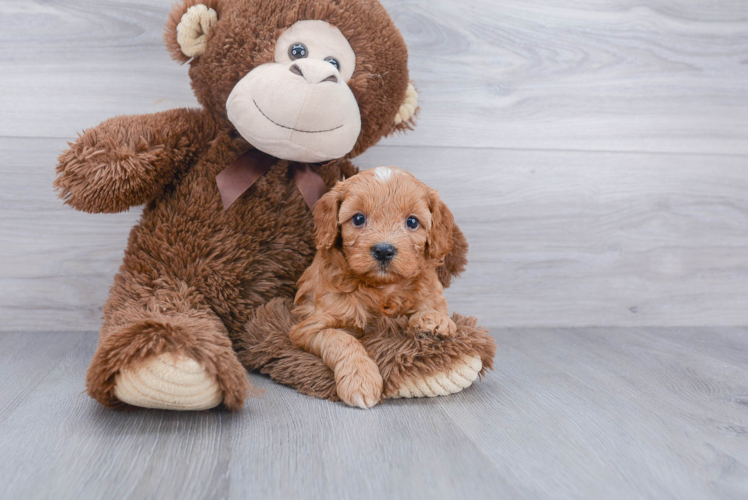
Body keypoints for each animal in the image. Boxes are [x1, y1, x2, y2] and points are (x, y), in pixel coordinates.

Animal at [290, 166, 456, 408]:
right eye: (358, 218)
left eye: (412, 222)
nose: (384, 250)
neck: (381, 289)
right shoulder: (310, 327)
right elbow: (342, 340)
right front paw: (360, 380)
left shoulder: (429, 288)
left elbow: (431, 303)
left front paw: (435, 319)